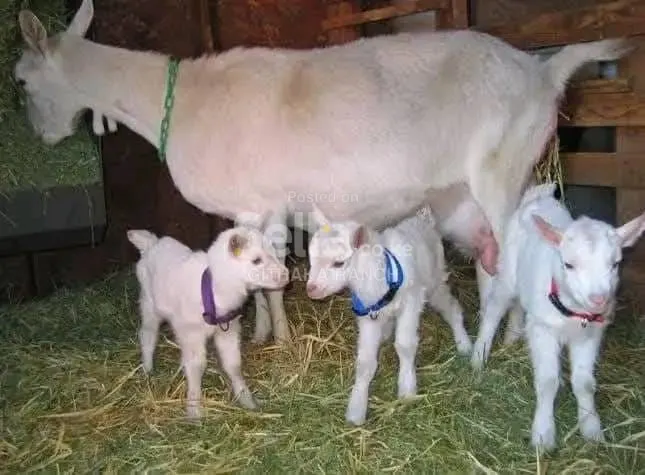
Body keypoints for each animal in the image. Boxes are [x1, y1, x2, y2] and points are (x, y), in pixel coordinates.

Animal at [14, 0, 633, 344]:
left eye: (19, 80)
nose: (42, 137)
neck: (184, 102)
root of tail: (542, 70)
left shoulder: (258, 202)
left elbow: (268, 278)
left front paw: (280, 339)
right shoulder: (248, 209)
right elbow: (255, 273)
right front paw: (265, 333)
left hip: (502, 169)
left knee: (518, 255)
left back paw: (515, 339)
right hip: (465, 195)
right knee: (491, 259)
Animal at [127, 225, 289, 420]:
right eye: (256, 260)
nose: (285, 275)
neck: (213, 289)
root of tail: (151, 243)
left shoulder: (228, 330)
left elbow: (233, 364)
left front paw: (247, 400)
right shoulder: (192, 333)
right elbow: (196, 367)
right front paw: (194, 410)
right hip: (149, 303)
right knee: (148, 335)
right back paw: (147, 369)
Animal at [306, 205, 471, 425]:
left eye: (339, 263)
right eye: (311, 259)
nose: (311, 290)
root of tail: (423, 220)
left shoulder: (411, 300)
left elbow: (405, 345)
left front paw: (407, 389)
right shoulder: (367, 316)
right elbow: (365, 362)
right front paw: (356, 409)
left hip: (435, 282)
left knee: (451, 308)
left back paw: (464, 344)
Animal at [470, 182, 645, 451]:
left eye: (615, 264)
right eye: (569, 264)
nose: (599, 299)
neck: (573, 312)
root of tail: (537, 198)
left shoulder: (590, 335)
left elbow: (585, 383)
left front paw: (592, 430)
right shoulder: (543, 329)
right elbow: (547, 381)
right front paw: (543, 435)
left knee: (519, 306)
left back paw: (511, 339)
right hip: (507, 273)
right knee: (494, 310)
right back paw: (478, 358)